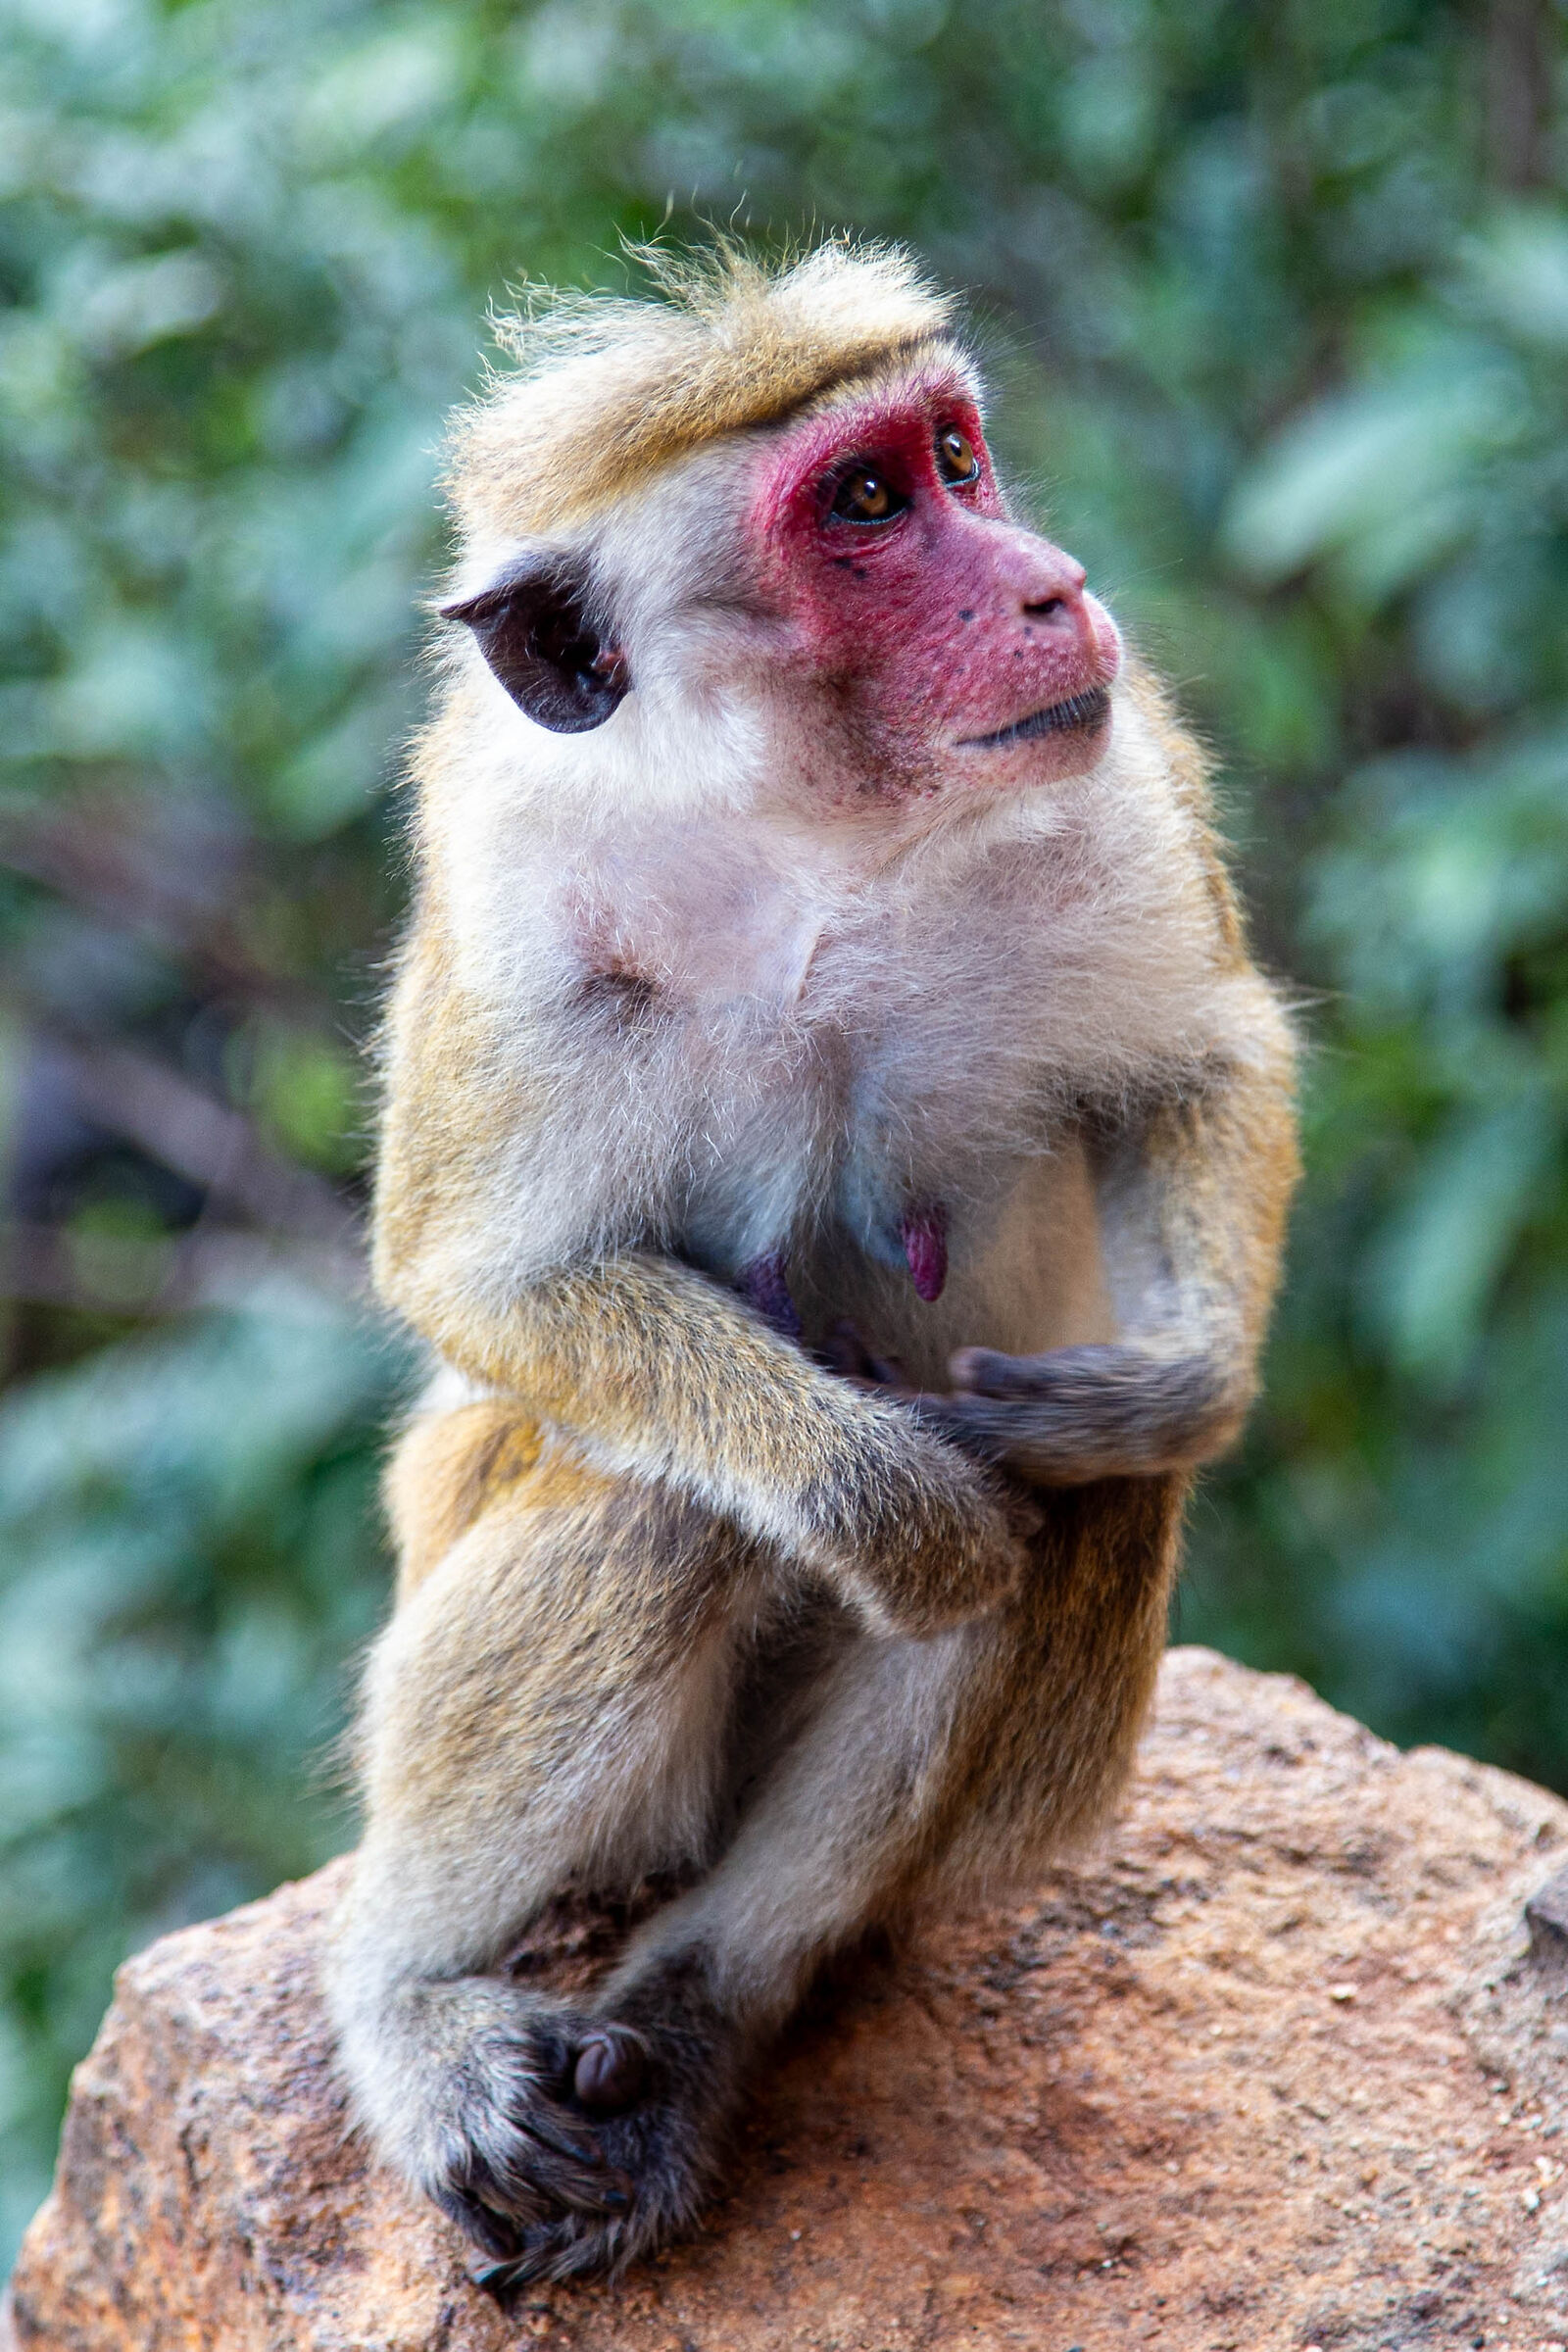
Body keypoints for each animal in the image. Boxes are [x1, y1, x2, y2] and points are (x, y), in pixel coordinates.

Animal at [324, 240, 1298, 2290]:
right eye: (860, 506)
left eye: (954, 458)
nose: (1051, 583)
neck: (808, 826)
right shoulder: (511, 869)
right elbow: (491, 1279)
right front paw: (882, 1498)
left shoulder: (1116, 771)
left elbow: (1202, 1063)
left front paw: (1161, 1390)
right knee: (664, 1502)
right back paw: (412, 2001)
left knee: (1072, 1512)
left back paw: (699, 2012)